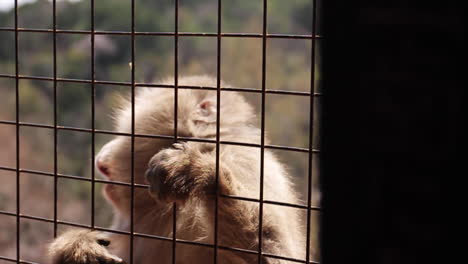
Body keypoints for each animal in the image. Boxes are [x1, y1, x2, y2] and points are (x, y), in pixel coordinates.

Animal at [48, 75, 308, 262]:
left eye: (125, 134)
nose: (100, 160)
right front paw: (76, 248)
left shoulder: (247, 164)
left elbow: (276, 253)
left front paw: (201, 174)